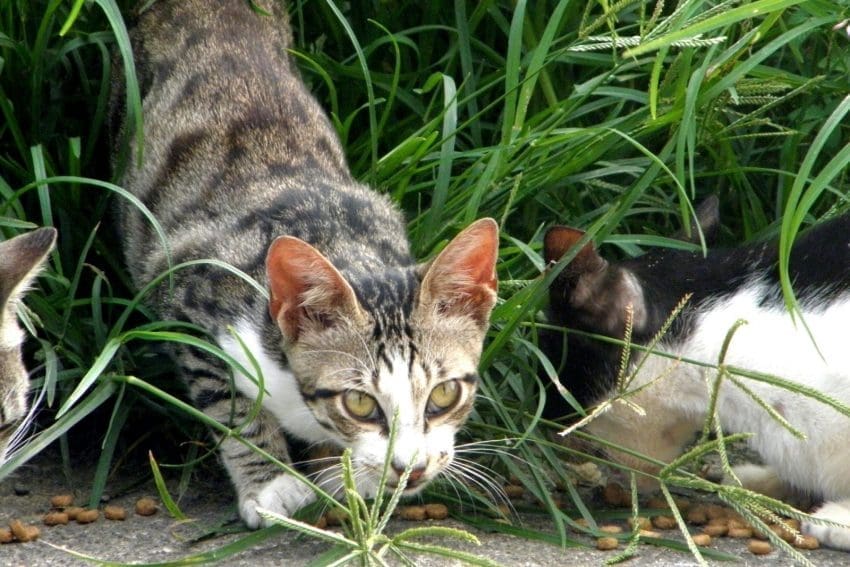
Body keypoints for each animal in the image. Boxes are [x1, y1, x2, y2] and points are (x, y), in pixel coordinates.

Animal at [114, 0, 496, 528]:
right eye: (359, 402)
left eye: (444, 395)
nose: (411, 469)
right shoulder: (187, 293)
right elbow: (230, 405)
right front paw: (270, 482)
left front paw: (342, 472)